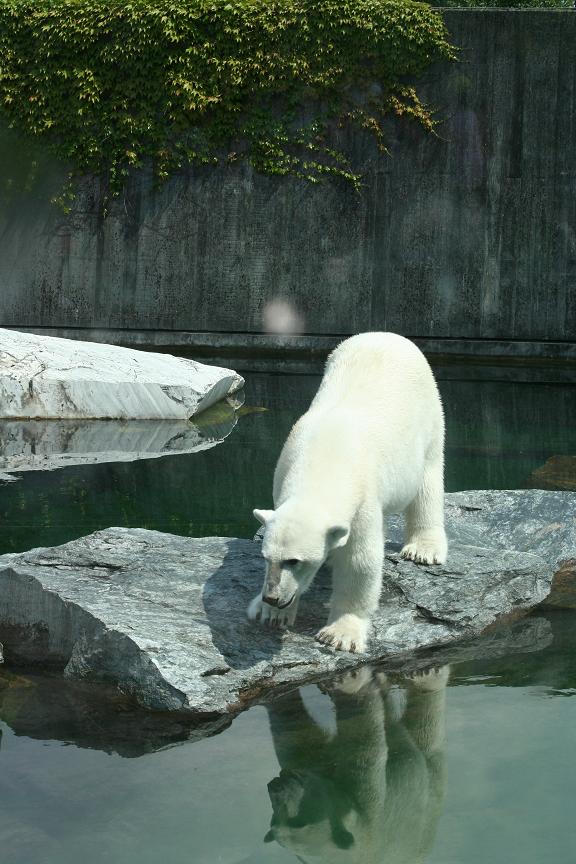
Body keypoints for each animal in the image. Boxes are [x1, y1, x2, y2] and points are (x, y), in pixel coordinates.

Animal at [246, 334, 446, 652]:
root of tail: (386, 335)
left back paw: (423, 549)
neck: (324, 459)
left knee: (428, 481)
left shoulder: (363, 500)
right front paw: (269, 613)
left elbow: (359, 561)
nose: (272, 597)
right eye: (267, 559)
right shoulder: (282, 475)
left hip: (428, 410)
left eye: (295, 561)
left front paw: (340, 634)